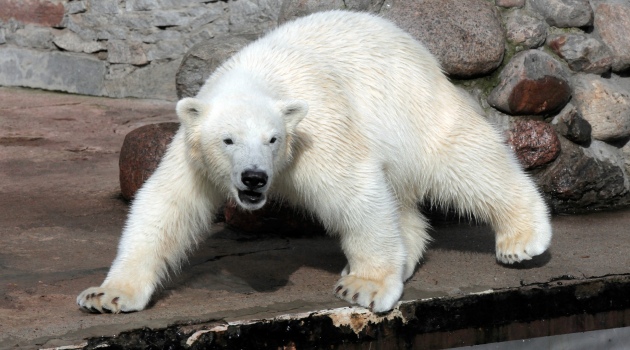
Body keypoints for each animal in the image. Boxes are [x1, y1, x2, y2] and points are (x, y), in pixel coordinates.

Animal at [78, 10, 552, 314]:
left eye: (272, 139)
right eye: (228, 140)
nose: (254, 179)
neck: (255, 75)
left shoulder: (316, 130)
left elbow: (354, 191)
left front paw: (365, 286)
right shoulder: (194, 151)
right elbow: (164, 205)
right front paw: (107, 295)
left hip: (411, 103)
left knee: (461, 160)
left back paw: (522, 238)